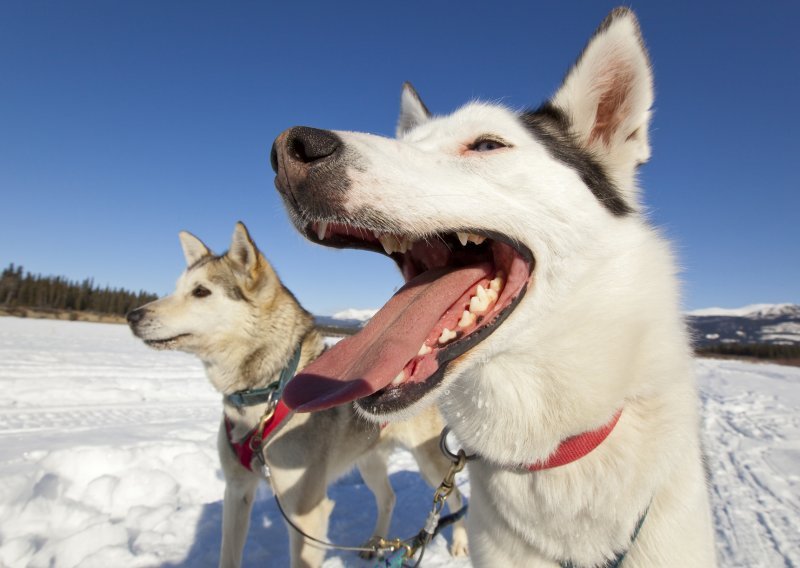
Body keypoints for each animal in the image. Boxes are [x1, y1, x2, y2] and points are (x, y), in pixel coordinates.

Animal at [125, 222, 468, 568]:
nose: (132, 316)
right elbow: (228, 554)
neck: (266, 395)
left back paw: (459, 545)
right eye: (177, 288)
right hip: (368, 460)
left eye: (200, 291)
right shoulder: (236, 491)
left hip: (429, 462)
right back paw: (375, 544)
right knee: (388, 497)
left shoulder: (306, 515)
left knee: (454, 498)